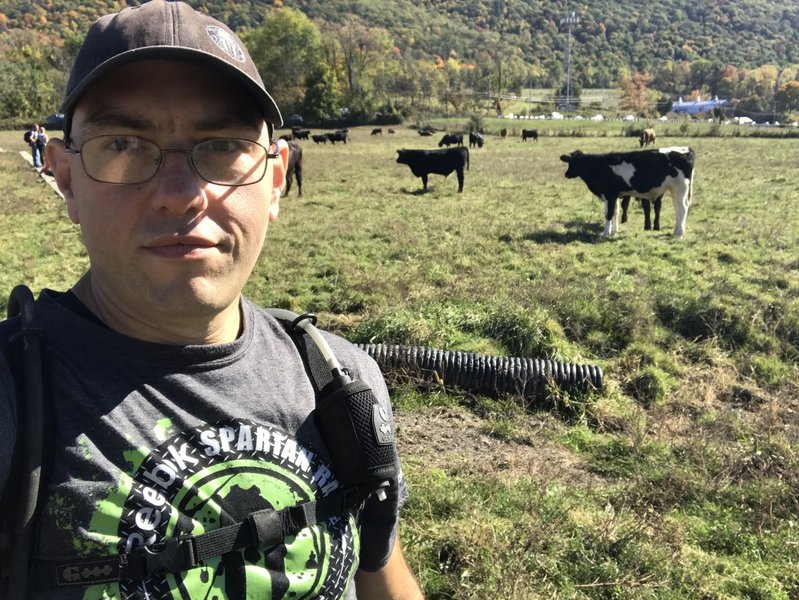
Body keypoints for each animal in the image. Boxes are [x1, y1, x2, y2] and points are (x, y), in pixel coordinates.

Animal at [560, 146, 696, 237]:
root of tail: (685, 149)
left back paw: (679, 233)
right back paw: (677, 231)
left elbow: (609, 214)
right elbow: (615, 212)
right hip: (674, 189)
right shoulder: (613, 196)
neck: (599, 166)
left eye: (572, 163)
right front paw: (614, 231)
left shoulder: (610, 194)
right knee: (678, 209)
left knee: (682, 208)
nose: (566, 174)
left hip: (681, 187)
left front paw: (605, 233)